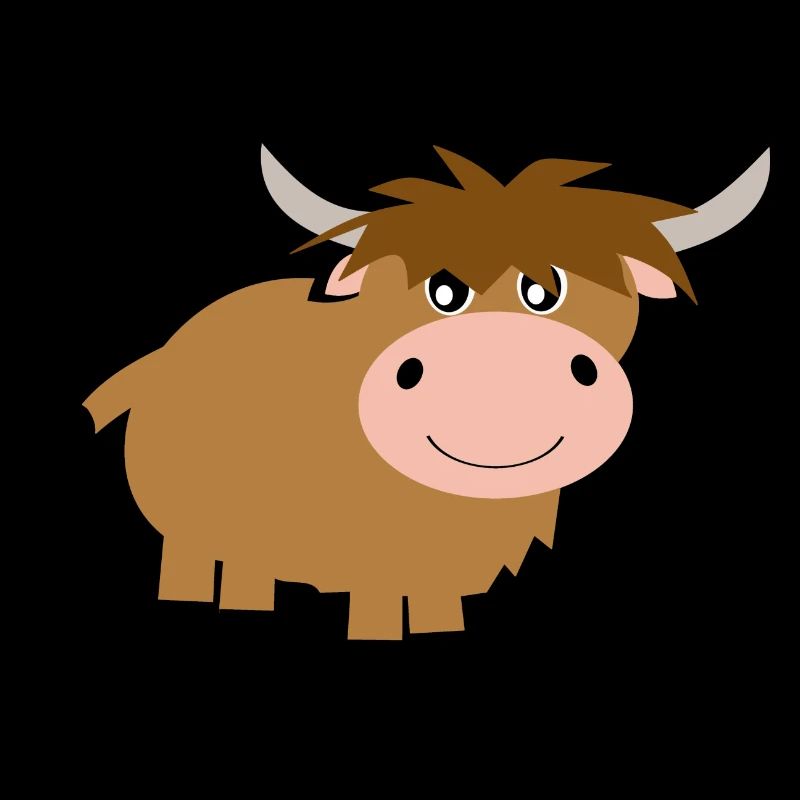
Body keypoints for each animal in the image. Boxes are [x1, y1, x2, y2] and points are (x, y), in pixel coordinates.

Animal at [83, 145, 770, 639]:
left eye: (547, 292)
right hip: (195, 524)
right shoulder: (373, 563)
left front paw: (440, 631)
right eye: (443, 291)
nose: (499, 369)